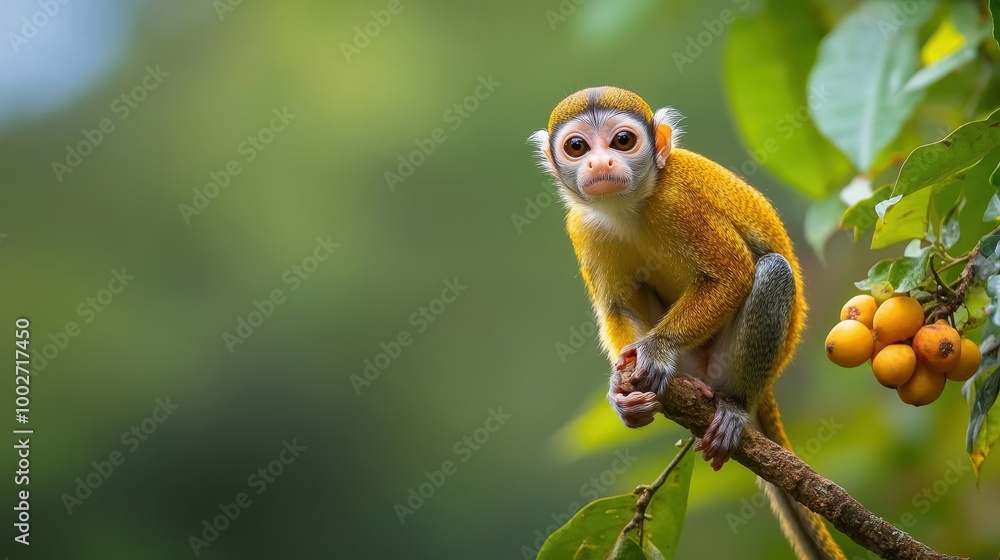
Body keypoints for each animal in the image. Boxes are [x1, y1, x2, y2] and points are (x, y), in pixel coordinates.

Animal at [529, 86, 846, 560]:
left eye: (623, 141)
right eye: (577, 147)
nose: (600, 163)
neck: (631, 206)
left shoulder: (678, 200)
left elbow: (733, 275)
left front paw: (656, 350)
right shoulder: (582, 226)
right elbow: (617, 308)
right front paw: (621, 390)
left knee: (773, 270)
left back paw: (733, 404)